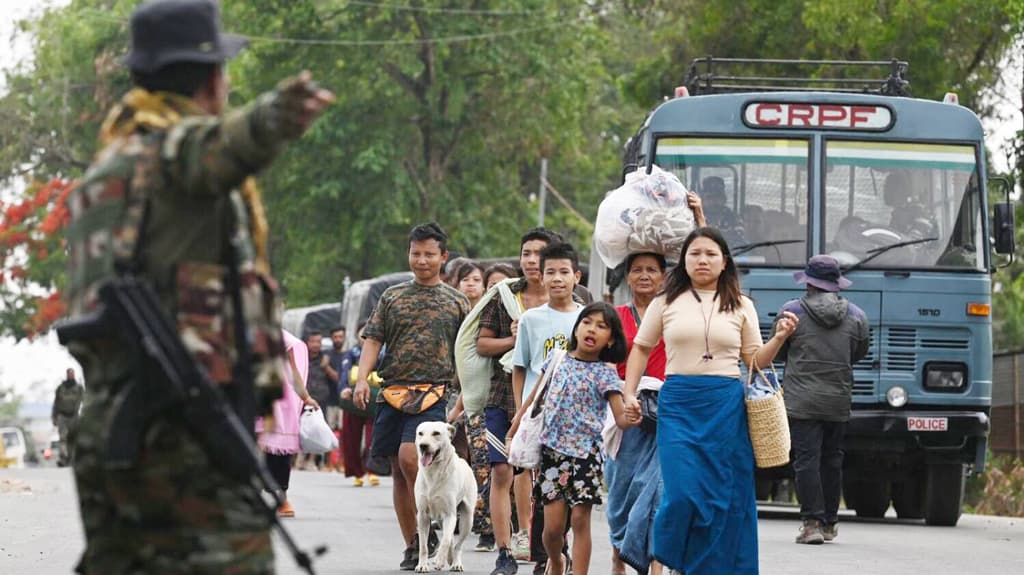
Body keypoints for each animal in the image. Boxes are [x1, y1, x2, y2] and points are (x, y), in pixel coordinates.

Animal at [413, 419, 477, 568]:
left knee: (458, 544)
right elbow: (423, 546)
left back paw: (456, 563)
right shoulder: (423, 515)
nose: (423, 445)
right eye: (420, 433)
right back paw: (450, 557)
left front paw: (439, 560)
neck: (434, 472)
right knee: (452, 539)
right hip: (440, 519)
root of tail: (464, 461)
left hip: (467, 519)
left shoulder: (450, 514)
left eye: (436, 433)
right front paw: (422, 565)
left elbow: (446, 540)